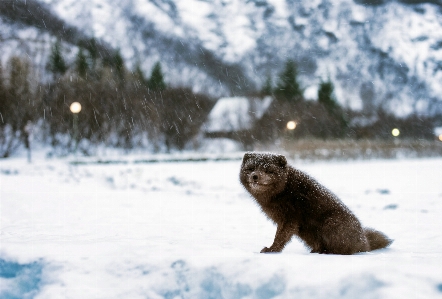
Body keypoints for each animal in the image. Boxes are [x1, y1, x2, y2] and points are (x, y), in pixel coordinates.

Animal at [240, 152, 392, 255]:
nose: (255, 176)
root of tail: (365, 242)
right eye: (250, 168)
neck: (284, 190)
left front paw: (271, 250)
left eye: (268, 170)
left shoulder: (290, 217)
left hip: (330, 223)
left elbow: (281, 236)